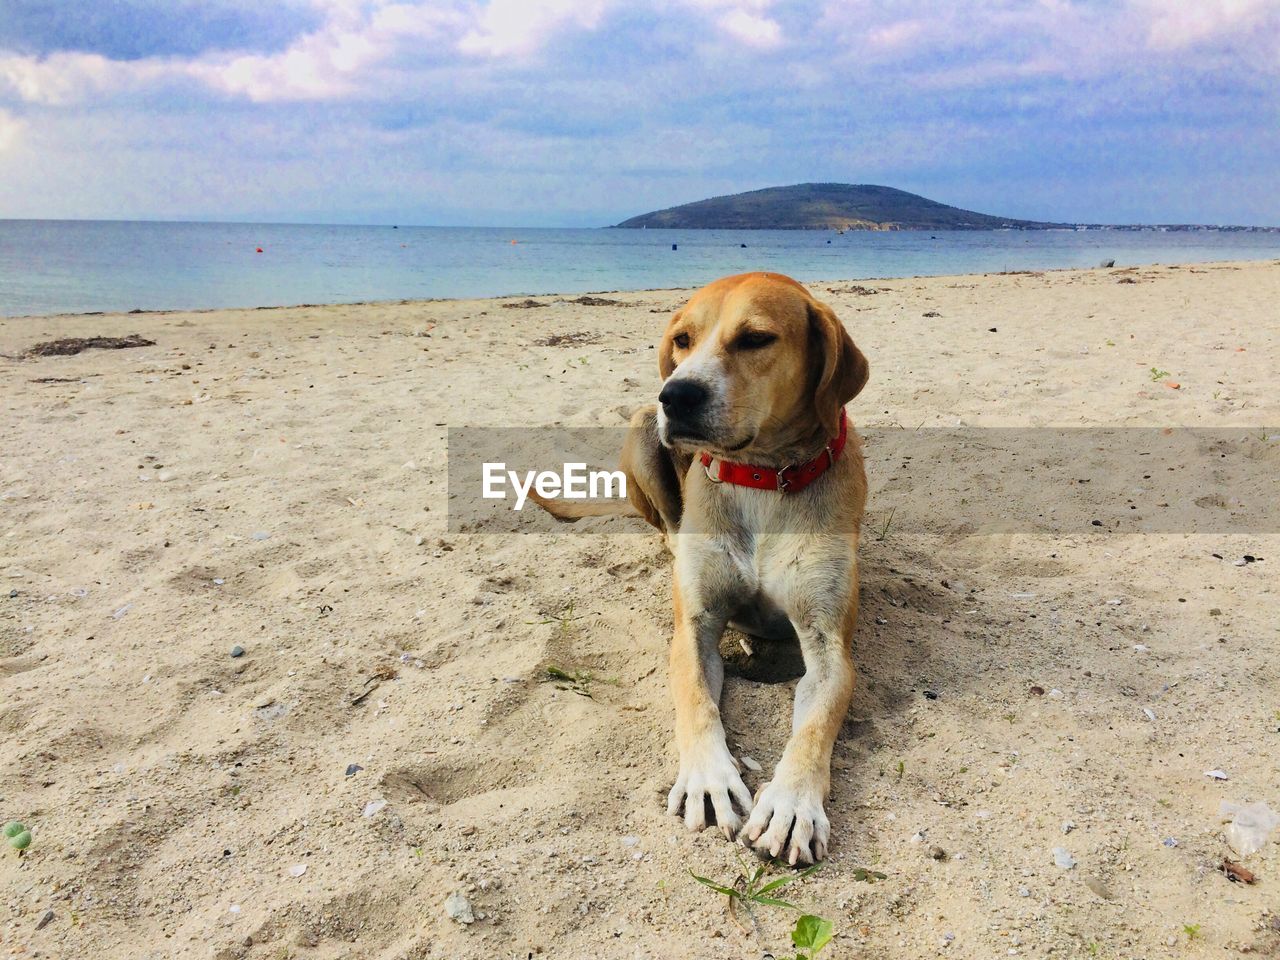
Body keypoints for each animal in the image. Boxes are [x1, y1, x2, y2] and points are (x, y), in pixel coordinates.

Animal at [529, 273, 870, 870]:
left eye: (756, 339)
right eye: (683, 340)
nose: (678, 395)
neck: (761, 477)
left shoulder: (829, 643)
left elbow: (813, 726)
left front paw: (791, 803)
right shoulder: (696, 626)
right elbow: (695, 698)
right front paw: (710, 779)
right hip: (642, 429)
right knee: (668, 522)